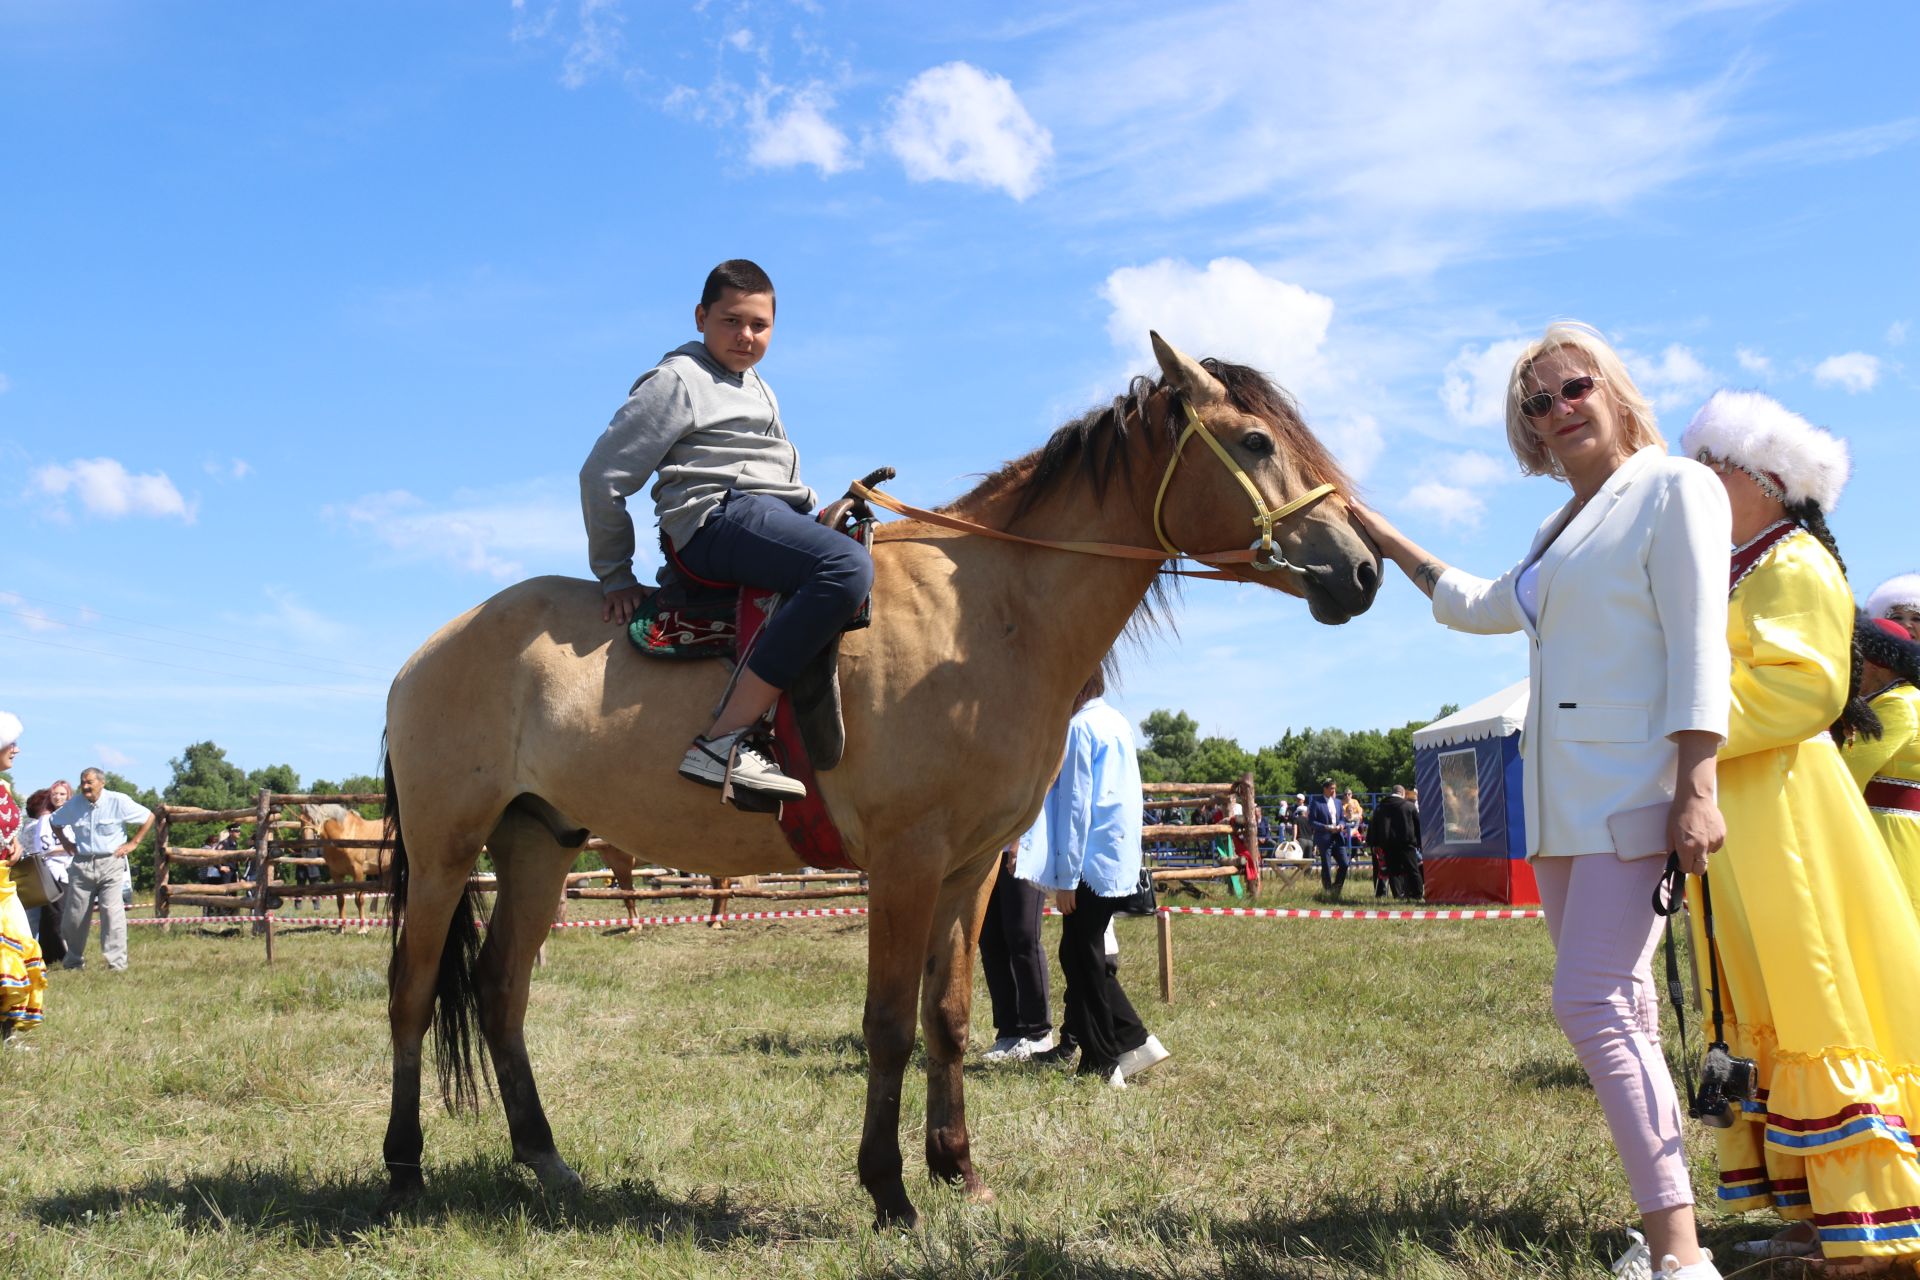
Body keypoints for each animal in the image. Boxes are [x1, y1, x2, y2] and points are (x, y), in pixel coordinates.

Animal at [378, 335, 1382, 1228]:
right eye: (1254, 442)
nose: (1363, 570)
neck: (990, 614)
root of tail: (431, 650)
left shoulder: (970, 869)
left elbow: (948, 1016)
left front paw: (959, 1172)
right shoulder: (905, 862)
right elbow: (890, 1023)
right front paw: (889, 1192)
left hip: (538, 844)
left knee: (502, 992)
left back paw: (544, 1158)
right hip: (444, 852)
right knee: (413, 992)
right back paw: (403, 1171)